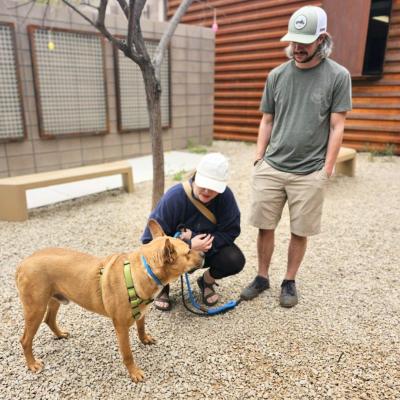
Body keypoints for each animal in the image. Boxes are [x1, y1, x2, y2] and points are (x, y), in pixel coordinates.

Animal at [15, 220, 203, 382]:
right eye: (188, 252)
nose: (203, 253)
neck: (143, 270)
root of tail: (23, 263)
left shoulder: (141, 314)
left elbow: (141, 328)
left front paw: (144, 339)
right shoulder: (121, 327)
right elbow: (128, 354)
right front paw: (134, 372)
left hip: (55, 300)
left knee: (49, 319)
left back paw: (60, 334)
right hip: (35, 309)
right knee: (25, 340)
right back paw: (32, 364)